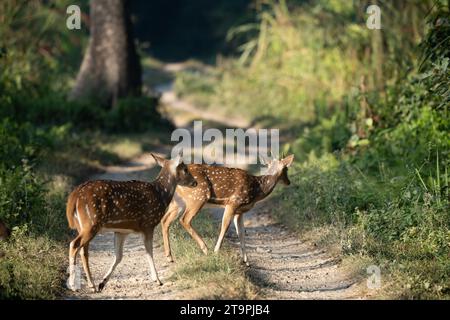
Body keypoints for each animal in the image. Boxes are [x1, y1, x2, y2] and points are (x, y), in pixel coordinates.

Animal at [65, 151, 197, 292]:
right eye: (185, 169)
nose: (195, 182)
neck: (160, 194)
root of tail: (75, 196)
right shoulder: (148, 224)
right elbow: (149, 253)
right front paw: (157, 280)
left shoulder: (122, 230)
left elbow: (119, 256)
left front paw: (102, 283)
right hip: (91, 223)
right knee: (74, 245)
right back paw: (73, 285)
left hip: (84, 225)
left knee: (84, 251)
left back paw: (92, 285)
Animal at [160, 154, 294, 266]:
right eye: (286, 169)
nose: (289, 182)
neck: (257, 189)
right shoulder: (232, 203)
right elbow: (225, 227)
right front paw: (216, 251)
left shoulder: (240, 212)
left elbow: (241, 233)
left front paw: (246, 261)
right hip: (198, 197)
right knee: (184, 220)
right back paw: (205, 249)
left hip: (178, 202)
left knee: (165, 220)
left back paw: (169, 257)